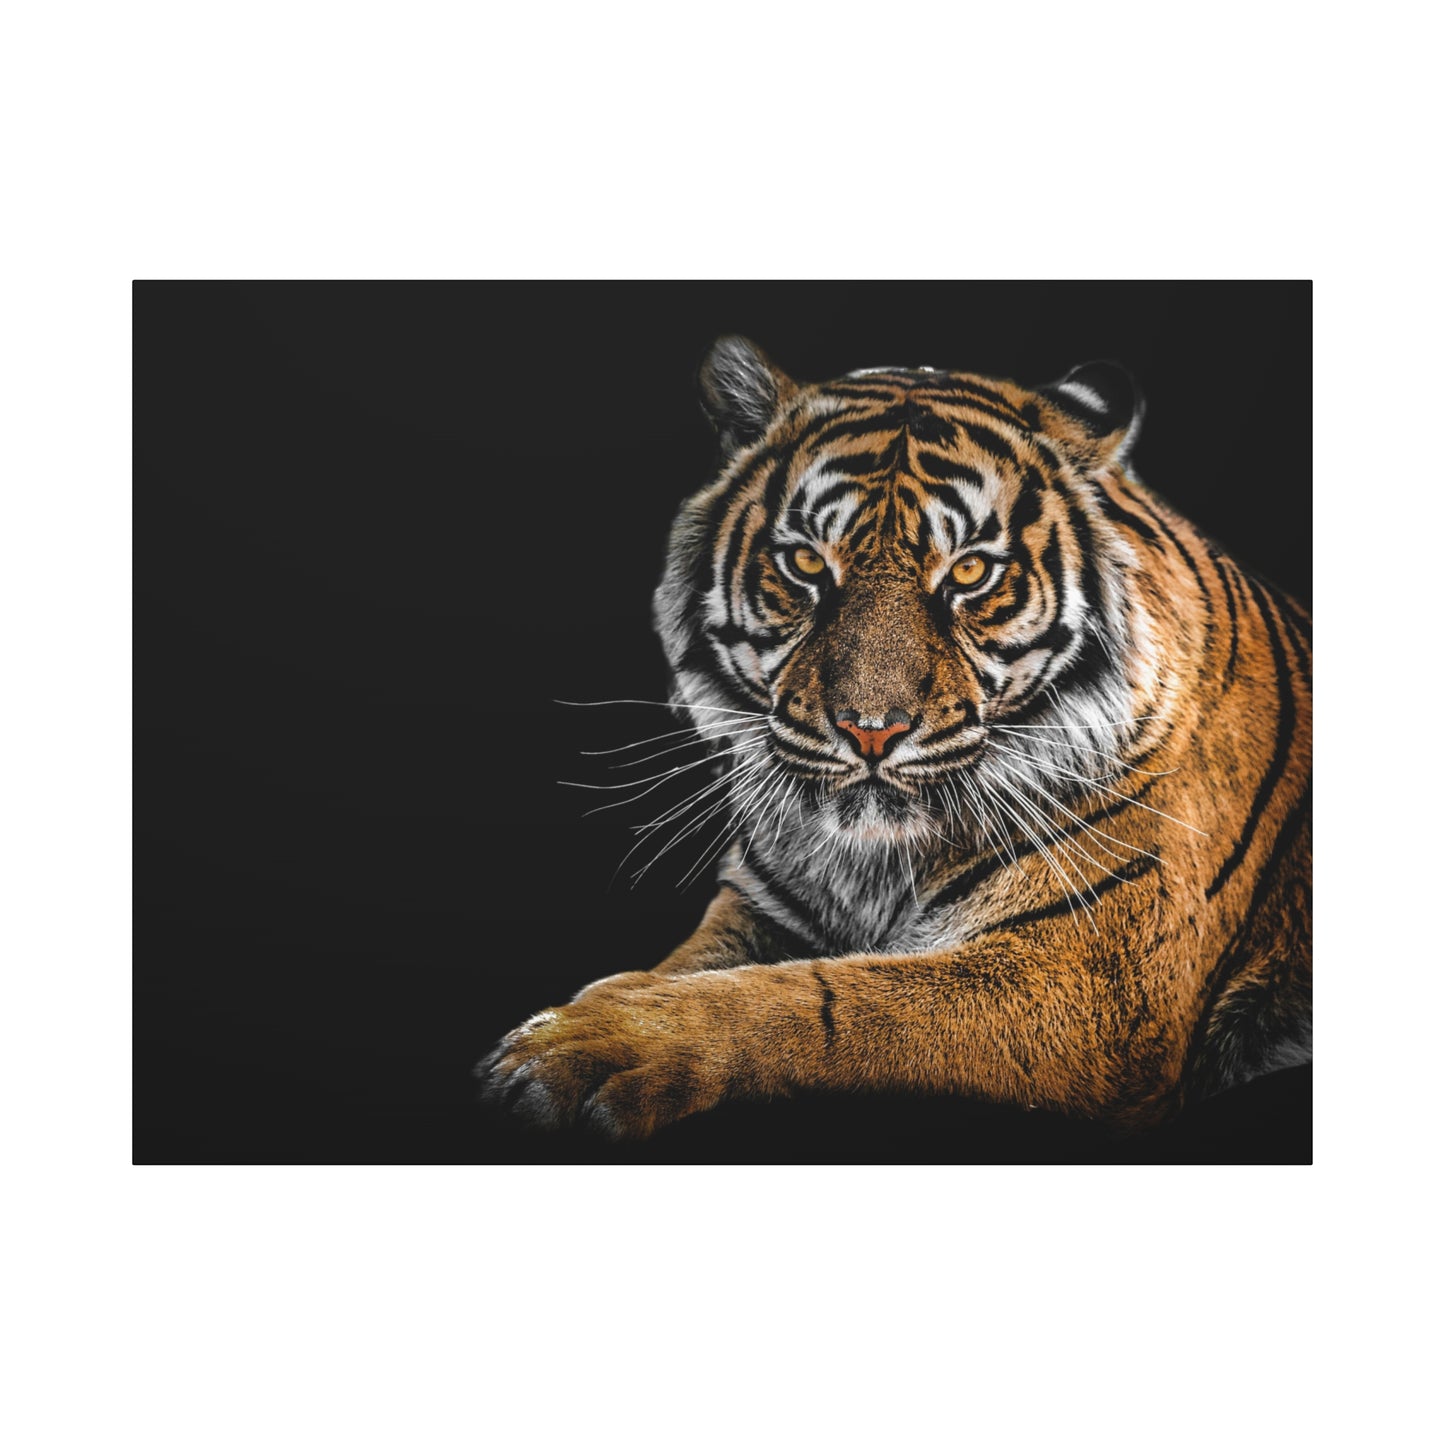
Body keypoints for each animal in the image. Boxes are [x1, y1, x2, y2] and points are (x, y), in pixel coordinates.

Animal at [477, 336, 1312, 1143]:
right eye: (805, 562)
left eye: (970, 572)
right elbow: (687, 966)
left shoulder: (1088, 979)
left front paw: (584, 1044)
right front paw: (589, 1006)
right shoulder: (760, 907)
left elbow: (824, 996)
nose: (868, 731)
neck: (873, 862)